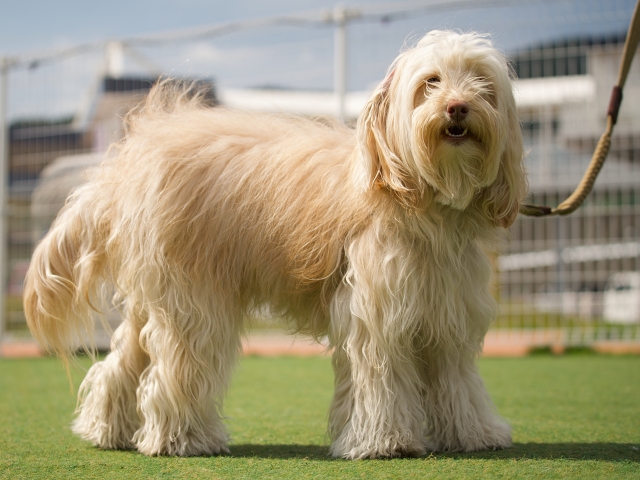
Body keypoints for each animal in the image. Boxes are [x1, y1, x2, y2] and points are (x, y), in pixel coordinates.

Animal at [23, 30, 524, 458]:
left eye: (482, 83)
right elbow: (380, 381)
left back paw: (105, 430)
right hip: (194, 302)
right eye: (430, 82)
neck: (421, 199)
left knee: (124, 363)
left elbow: (458, 381)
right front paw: (386, 442)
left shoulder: (448, 316)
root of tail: (131, 160)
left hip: (150, 300)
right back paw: (182, 439)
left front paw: (473, 434)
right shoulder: (377, 317)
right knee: (176, 372)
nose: (458, 107)